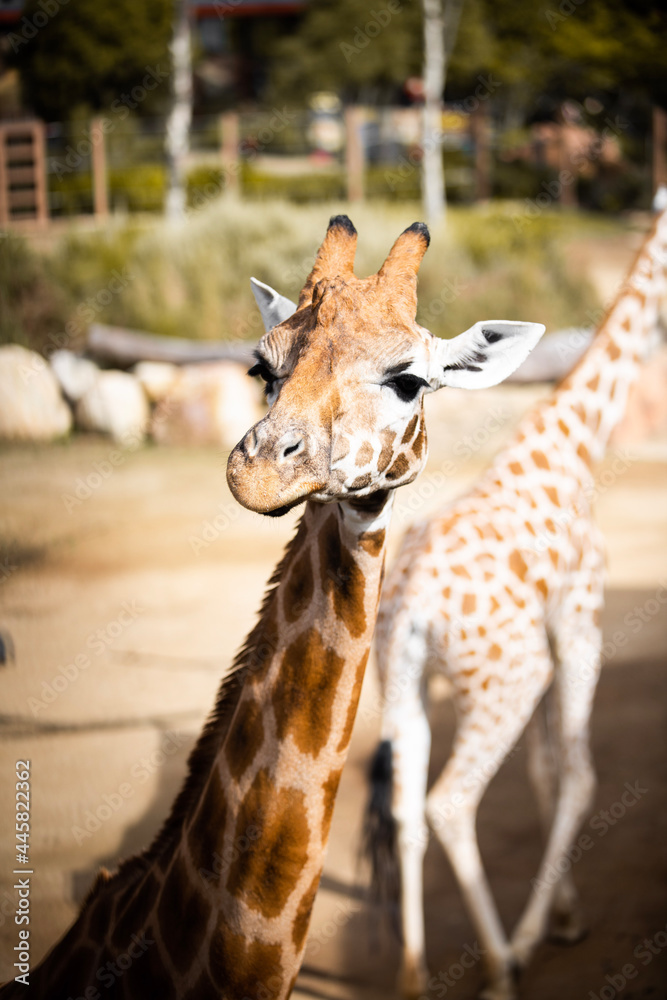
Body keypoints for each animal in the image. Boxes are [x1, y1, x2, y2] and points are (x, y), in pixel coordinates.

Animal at [365, 208, 667, 1000]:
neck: (574, 447)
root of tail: (414, 603)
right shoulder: (579, 623)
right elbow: (578, 777)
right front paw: (541, 931)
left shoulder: (548, 639)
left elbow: (542, 771)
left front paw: (565, 914)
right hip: (505, 679)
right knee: (448, 802)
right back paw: (502, 966)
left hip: (403, 682)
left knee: (406, 807)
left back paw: (412, 975)